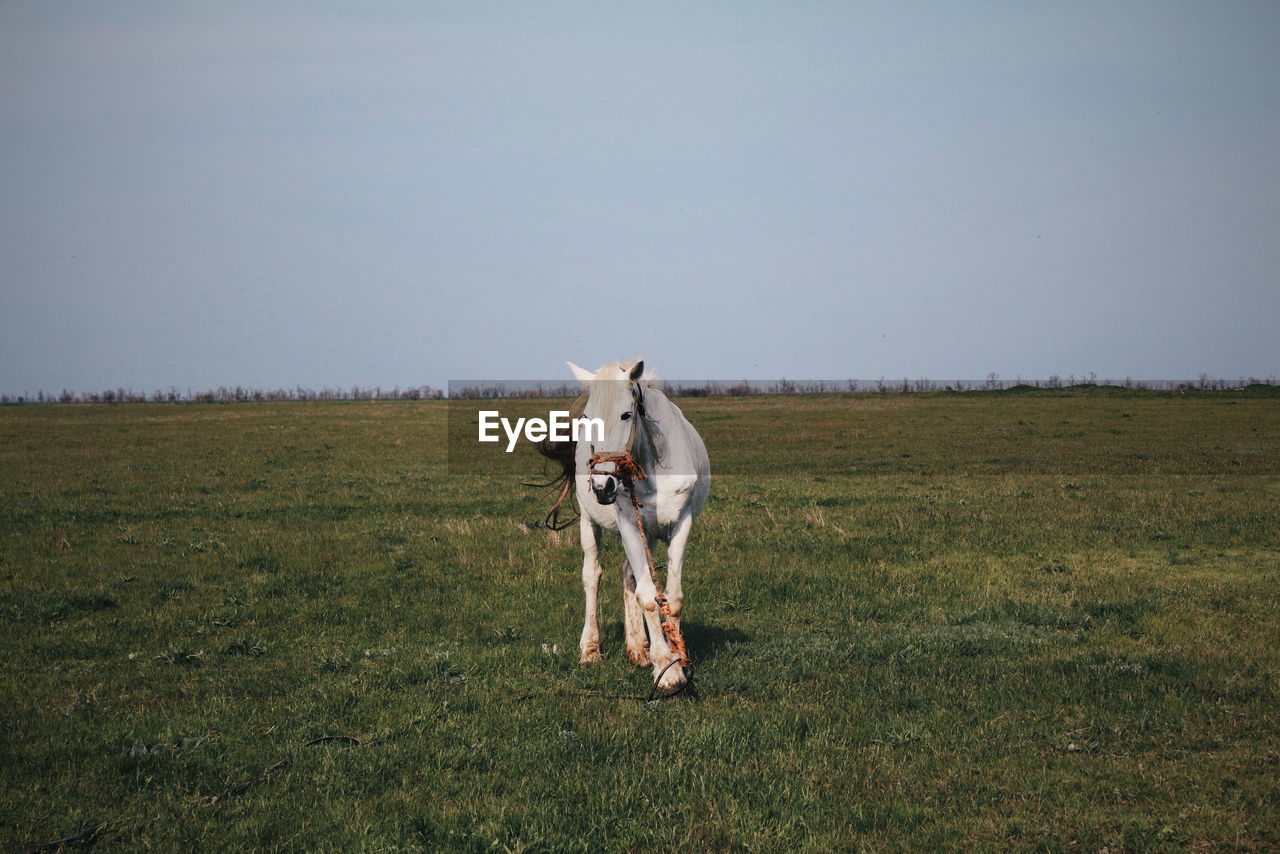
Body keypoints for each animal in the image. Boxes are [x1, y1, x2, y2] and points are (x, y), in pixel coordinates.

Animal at [568, 358, 711, 696]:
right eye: (586, 418)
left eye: (626, 414)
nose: (602, 486)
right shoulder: (629, 525)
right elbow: (648, 597)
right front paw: (666, 671)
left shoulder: (680, 525)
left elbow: (671, 597)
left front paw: (675, 659)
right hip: (589, 521)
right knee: (592, 575)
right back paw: (590, 649)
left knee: (627, 574)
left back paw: (637, 647)